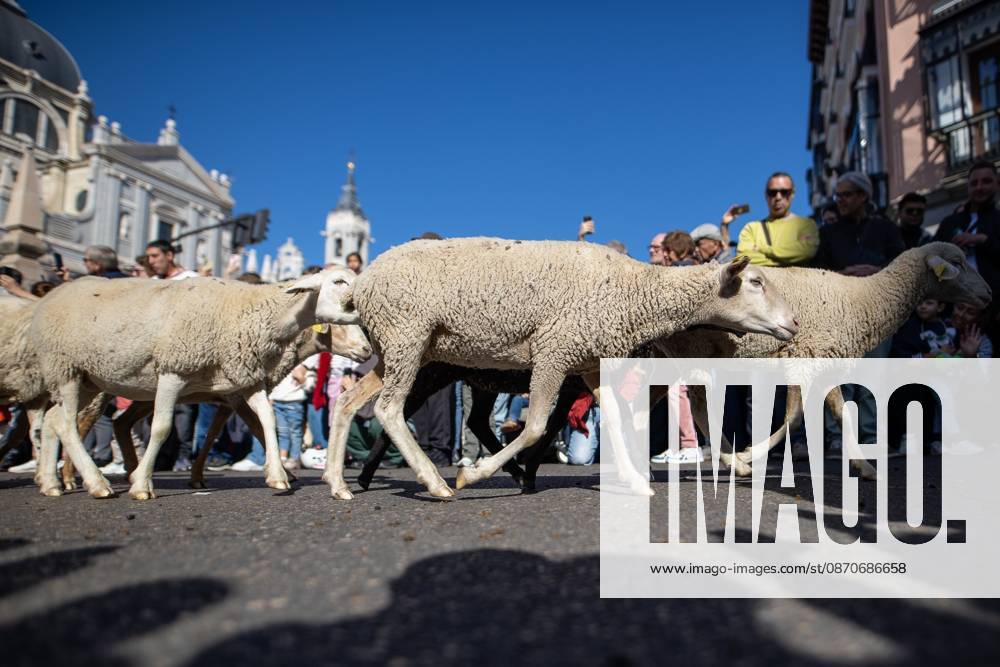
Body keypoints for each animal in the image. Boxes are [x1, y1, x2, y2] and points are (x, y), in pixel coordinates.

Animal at [30, 268, 370, 500]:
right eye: (339, 282)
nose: (368, 350)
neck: (250, 311)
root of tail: (53, 294)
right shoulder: (175, 370)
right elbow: (164, 428)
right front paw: (143, 487)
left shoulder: (243, 380)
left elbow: (262, 421)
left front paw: (276, 475)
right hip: (67, 370)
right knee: (69, 425)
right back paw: (94, 481)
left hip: (88, 379)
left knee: (58, 421)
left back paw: (54, 481)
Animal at [322, 237, 799, 499]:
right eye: (756, 282)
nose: (793, 323)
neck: (636, 293)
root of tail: (362, 283)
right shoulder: (554, 351)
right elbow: (535, 427)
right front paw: (474, 473)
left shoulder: (588, 362)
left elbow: (617, 422)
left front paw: (636, 481)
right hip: (409, 339)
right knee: (389, 410)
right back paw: (435, 482)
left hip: (395, 350)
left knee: (347, 403)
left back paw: (339, 483)